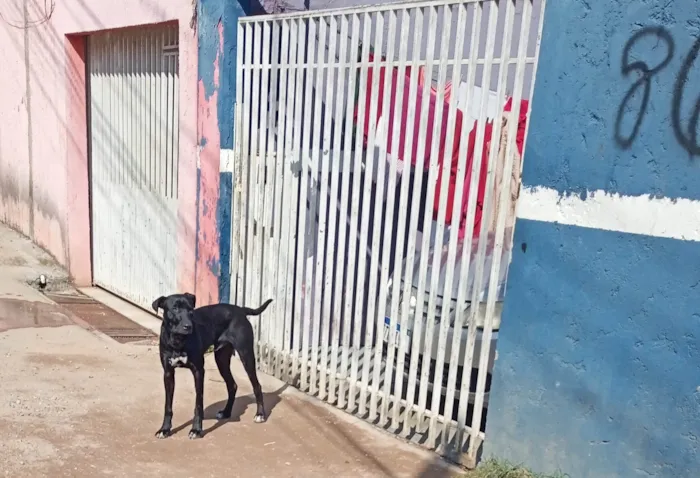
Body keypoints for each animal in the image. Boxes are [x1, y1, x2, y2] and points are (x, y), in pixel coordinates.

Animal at [152, 294, 272, 438]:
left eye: (190, 309)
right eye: (175, 308)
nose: (188, 326)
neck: (178, 340)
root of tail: (240, 310)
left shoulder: (198, 371)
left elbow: (198, 403)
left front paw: (196, 429)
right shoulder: (168, 373)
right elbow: (168, 406)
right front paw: (164, 429)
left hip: (246, 355)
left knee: (257, 386)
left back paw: (260, 414)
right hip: (221, 359)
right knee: (232, 385)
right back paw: (226, 412)